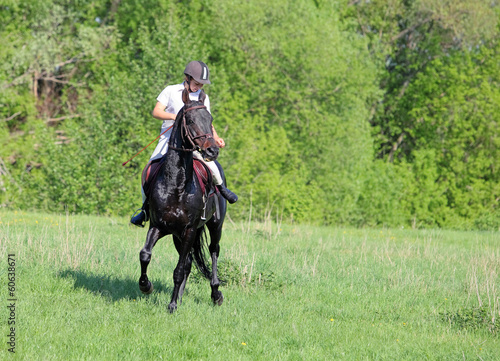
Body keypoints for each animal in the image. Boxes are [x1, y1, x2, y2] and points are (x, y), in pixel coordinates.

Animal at [140, 88, 228, 312]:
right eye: (190, 120)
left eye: (210, 120)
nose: (213, 150)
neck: (176, 185)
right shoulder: (158, 226)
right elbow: (145, 254)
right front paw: (146, 286)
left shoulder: (189, 230)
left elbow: (178, 270)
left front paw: (171, 306)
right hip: (177, 236)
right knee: (188, 261)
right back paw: (179, 296)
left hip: (215, 226)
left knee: (213, 251)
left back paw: (216, 294)